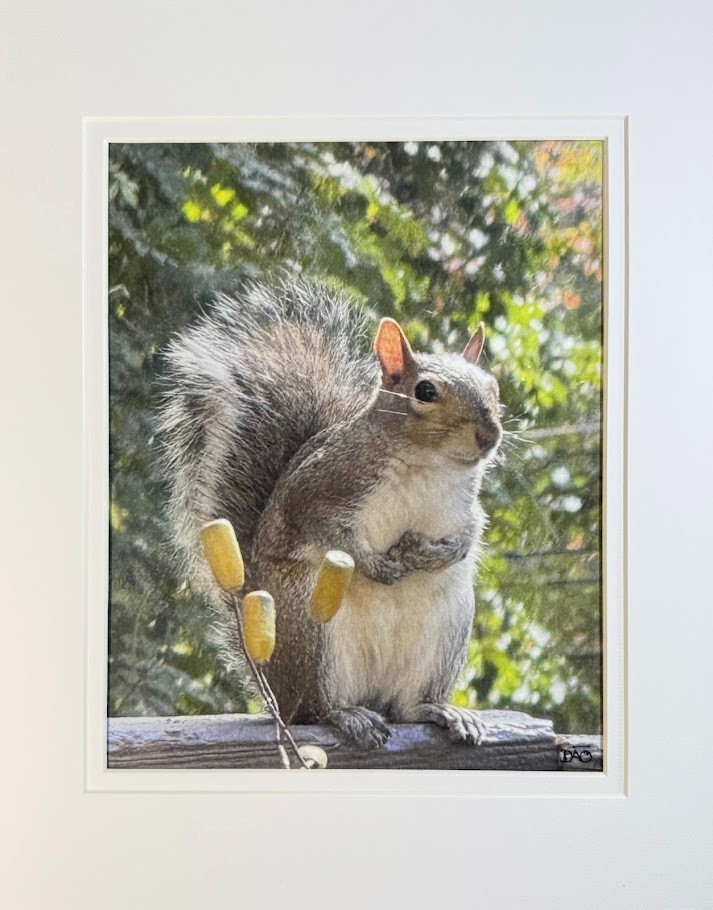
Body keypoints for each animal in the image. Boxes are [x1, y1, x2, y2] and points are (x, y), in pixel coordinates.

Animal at [160, 279, 503, 749]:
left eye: (494, 386)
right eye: (425, 392)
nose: (490, 435)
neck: (429, 466)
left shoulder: (465, 507)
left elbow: (471, 534)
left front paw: (437, 554)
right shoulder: (320, 486)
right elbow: (327, 529)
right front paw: (376, 565)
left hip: (447, 631)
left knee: (408, 707)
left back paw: (442, 711)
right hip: (310, 628)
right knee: (317, 710)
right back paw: (349, 716)